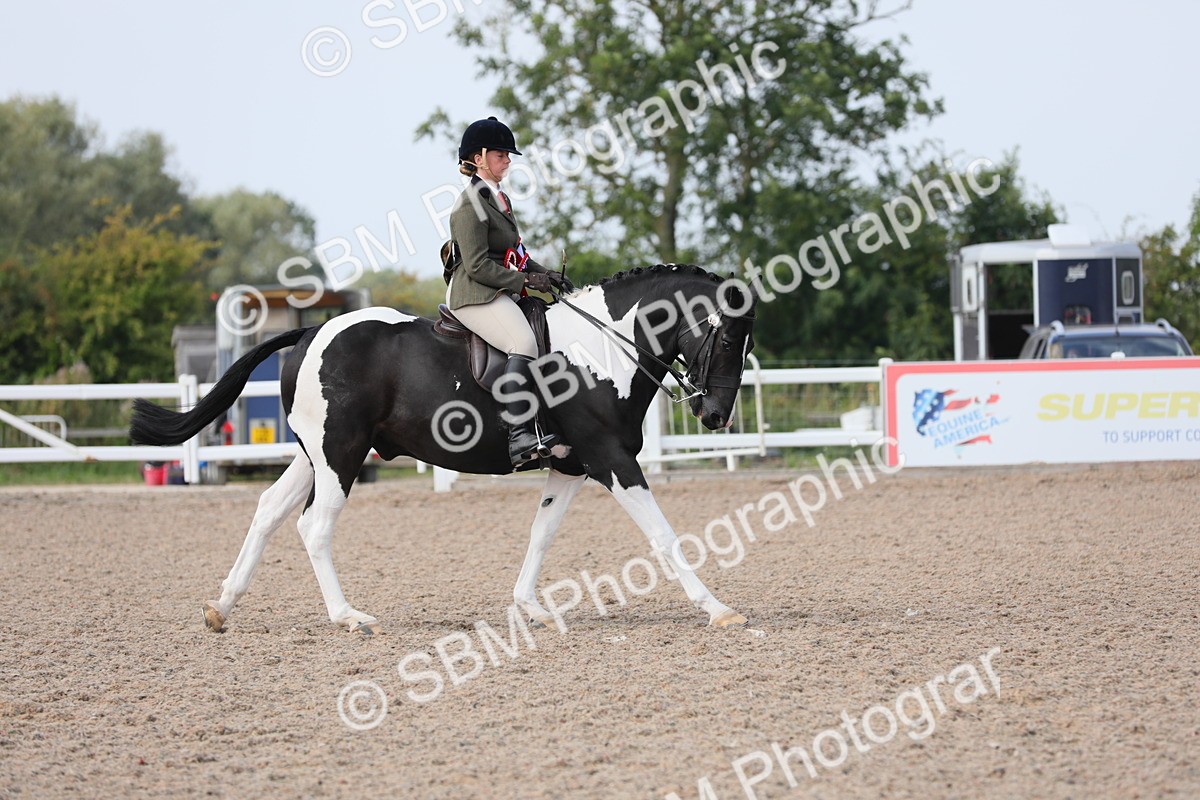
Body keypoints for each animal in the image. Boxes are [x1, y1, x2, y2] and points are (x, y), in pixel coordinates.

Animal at [130, 264, 758, 634]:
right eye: (729, 337)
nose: (715, 416)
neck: (600, 349)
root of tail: (310, 332)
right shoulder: (611, 461)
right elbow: (663, 535)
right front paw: (718, 608)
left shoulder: (571, 466)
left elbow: (542, 532)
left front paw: (529, 606)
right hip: (341, 454)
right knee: (314, 526)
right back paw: (348, 617)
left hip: (315, 455)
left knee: (267, 511)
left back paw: (222, 607)